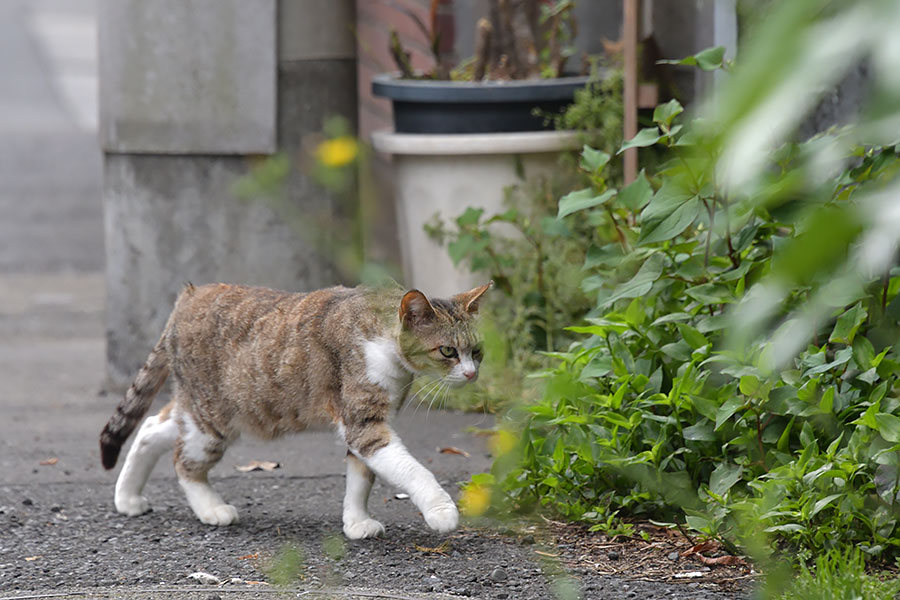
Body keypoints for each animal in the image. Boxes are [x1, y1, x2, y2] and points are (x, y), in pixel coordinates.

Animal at [99, 282, 492, 540]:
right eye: (447, 351)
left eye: (477, 351)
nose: (472, 374)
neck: (381, 338)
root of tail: (189, 295)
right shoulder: (364, 423)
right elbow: (413, 471)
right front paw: (441, 510)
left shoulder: (366, 424)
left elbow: (360, 479)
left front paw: (356, 523)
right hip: (211, 421)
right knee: (183, 460)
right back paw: (211, 508)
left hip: (202, 411)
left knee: (152, 427)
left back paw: (127, 497)